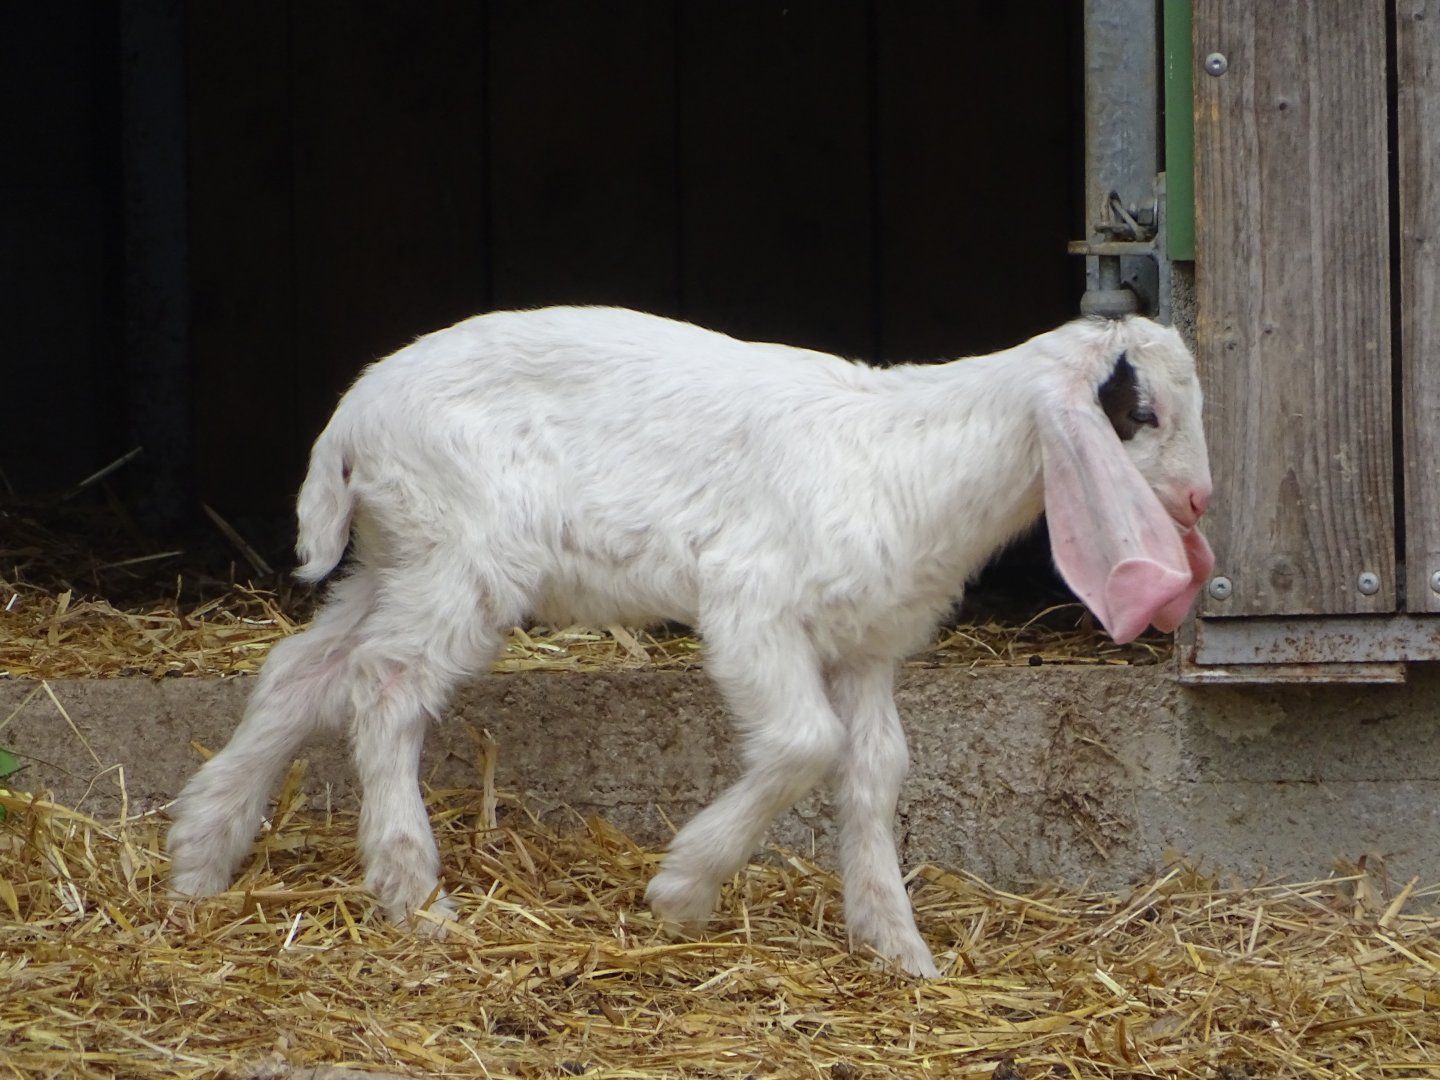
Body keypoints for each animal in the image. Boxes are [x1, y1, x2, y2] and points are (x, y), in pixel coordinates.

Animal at [167, 306, 1213, 977]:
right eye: (1141, 412)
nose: (1203, 500)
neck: (912, 454)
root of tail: (353, 419)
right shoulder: (753, 603)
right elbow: (804, 743)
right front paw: (682, 889)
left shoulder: (866, 644)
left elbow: (876, 769)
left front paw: (898, 946)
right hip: (460, 549)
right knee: (384, 685)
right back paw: (415, 897)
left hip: (397, 554)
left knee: (301, 674)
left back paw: (200, 854)